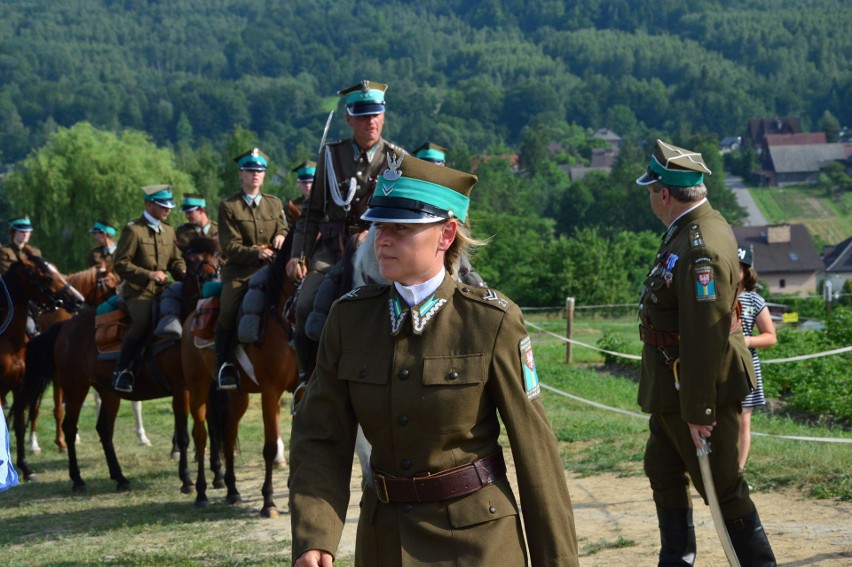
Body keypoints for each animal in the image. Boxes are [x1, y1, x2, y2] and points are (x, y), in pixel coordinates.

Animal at [0, 251, 85, 482]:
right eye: (46, 277)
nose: (78, 300)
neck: (8, 340)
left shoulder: (19, 387)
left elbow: (20, 425)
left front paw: (26, 468)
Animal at [17, 237, 223, 490]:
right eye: (192, 259)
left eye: (216, 257)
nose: (211, 278)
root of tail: (65, 327)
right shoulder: (181, 389)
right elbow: (185, 434)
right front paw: (186, 479)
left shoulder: (207, 387)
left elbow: (212, 428)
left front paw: (218, 475)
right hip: (75, 388)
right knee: (70, 427)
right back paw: (77, 479)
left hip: (108, 392)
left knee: (104, 430)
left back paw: (120, 477)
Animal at [191, 251, 300, 516]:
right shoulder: (270, 391)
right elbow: (270, 447)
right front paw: (269, 502)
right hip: (197, 386)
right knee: (200, 435)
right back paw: (201, 493)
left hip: (238, 395)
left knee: (229, 433)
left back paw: (232, 490)